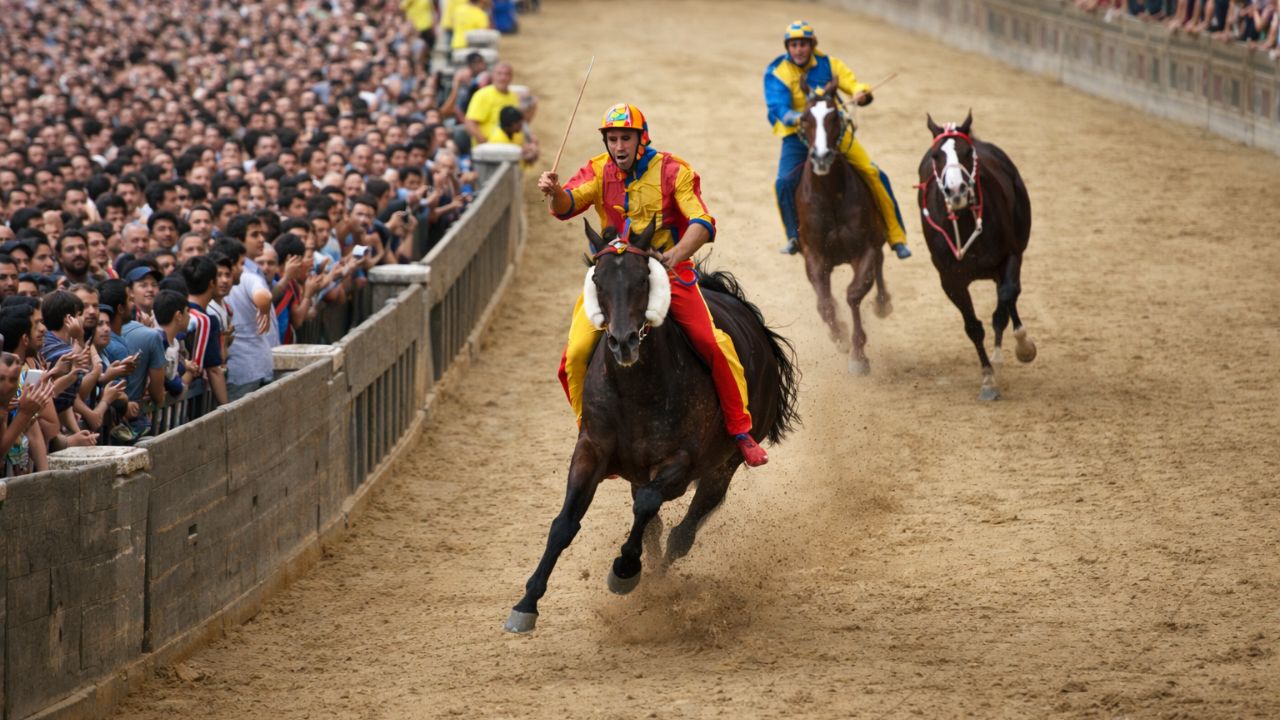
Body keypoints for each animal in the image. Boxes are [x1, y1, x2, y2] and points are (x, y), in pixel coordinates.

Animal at [503, 219, 800, 634]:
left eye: (643, 279)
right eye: (598, 279)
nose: (623, 341)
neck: (635, 390)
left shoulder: (681, 462)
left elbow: (647, 506)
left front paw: (625, 570)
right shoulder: (592, 450)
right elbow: (565, 523)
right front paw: (526, 603)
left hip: (724, 465)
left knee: (682, 533)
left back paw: (657, 579)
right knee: (659, 527)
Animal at [916, 112, 1038, 401]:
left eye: (967, 151)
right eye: (936, 155)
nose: (956, 190)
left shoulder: (1010, 255)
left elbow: (1006, 298)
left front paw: (1022, 347)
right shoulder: (950, 280)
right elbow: (973, 326)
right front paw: (988, 380)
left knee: (1008, 295)